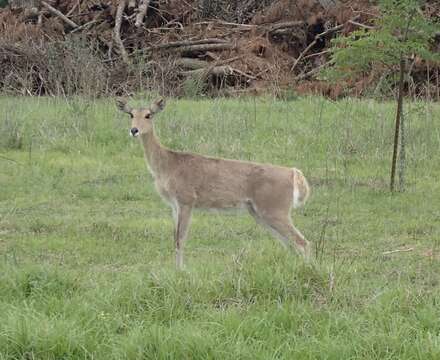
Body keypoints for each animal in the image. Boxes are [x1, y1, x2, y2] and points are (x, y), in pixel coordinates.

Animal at [116, 97, 310, 268]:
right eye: (130, 114)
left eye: (148, 115)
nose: (134, 130)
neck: (167, 166)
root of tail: (292, 173)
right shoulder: (173, 204)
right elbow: (175, 238)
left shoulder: (186, 199)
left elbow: (180, 239)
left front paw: (181, 271)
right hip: (260, 212)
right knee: (289, 243)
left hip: (275, 209)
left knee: (302, 242)